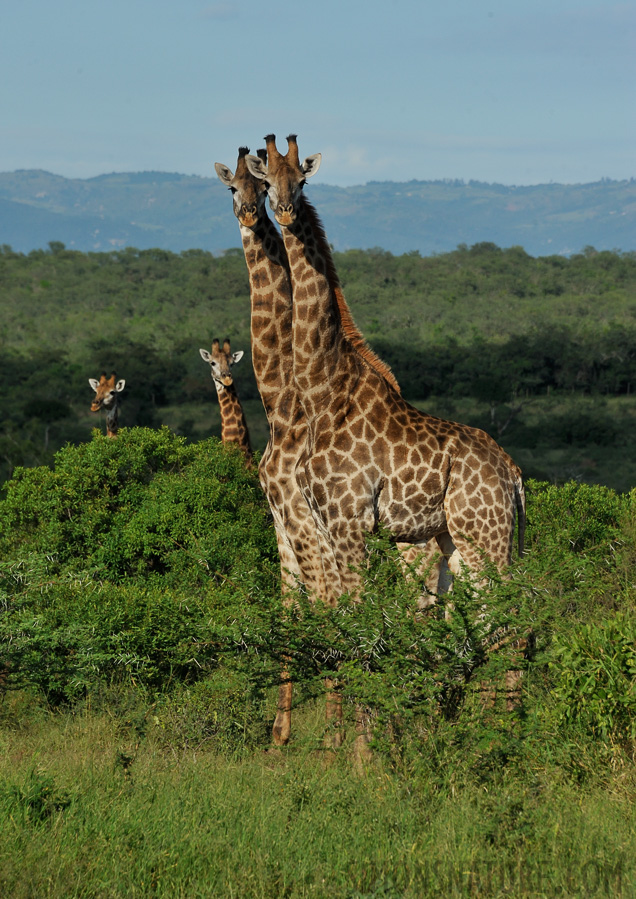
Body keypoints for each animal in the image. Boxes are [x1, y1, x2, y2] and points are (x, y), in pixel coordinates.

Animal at [247, 135, 528, 716]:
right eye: (268, 181)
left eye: (300, 181)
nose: (281, 212)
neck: (323, 394)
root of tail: (513, 476)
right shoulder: (324, 525)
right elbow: (350, 631)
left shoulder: (349, 523)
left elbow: (358, 632)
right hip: (460, 542)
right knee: (477, 630)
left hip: (482, 536)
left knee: (506, 627)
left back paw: (502, 731)